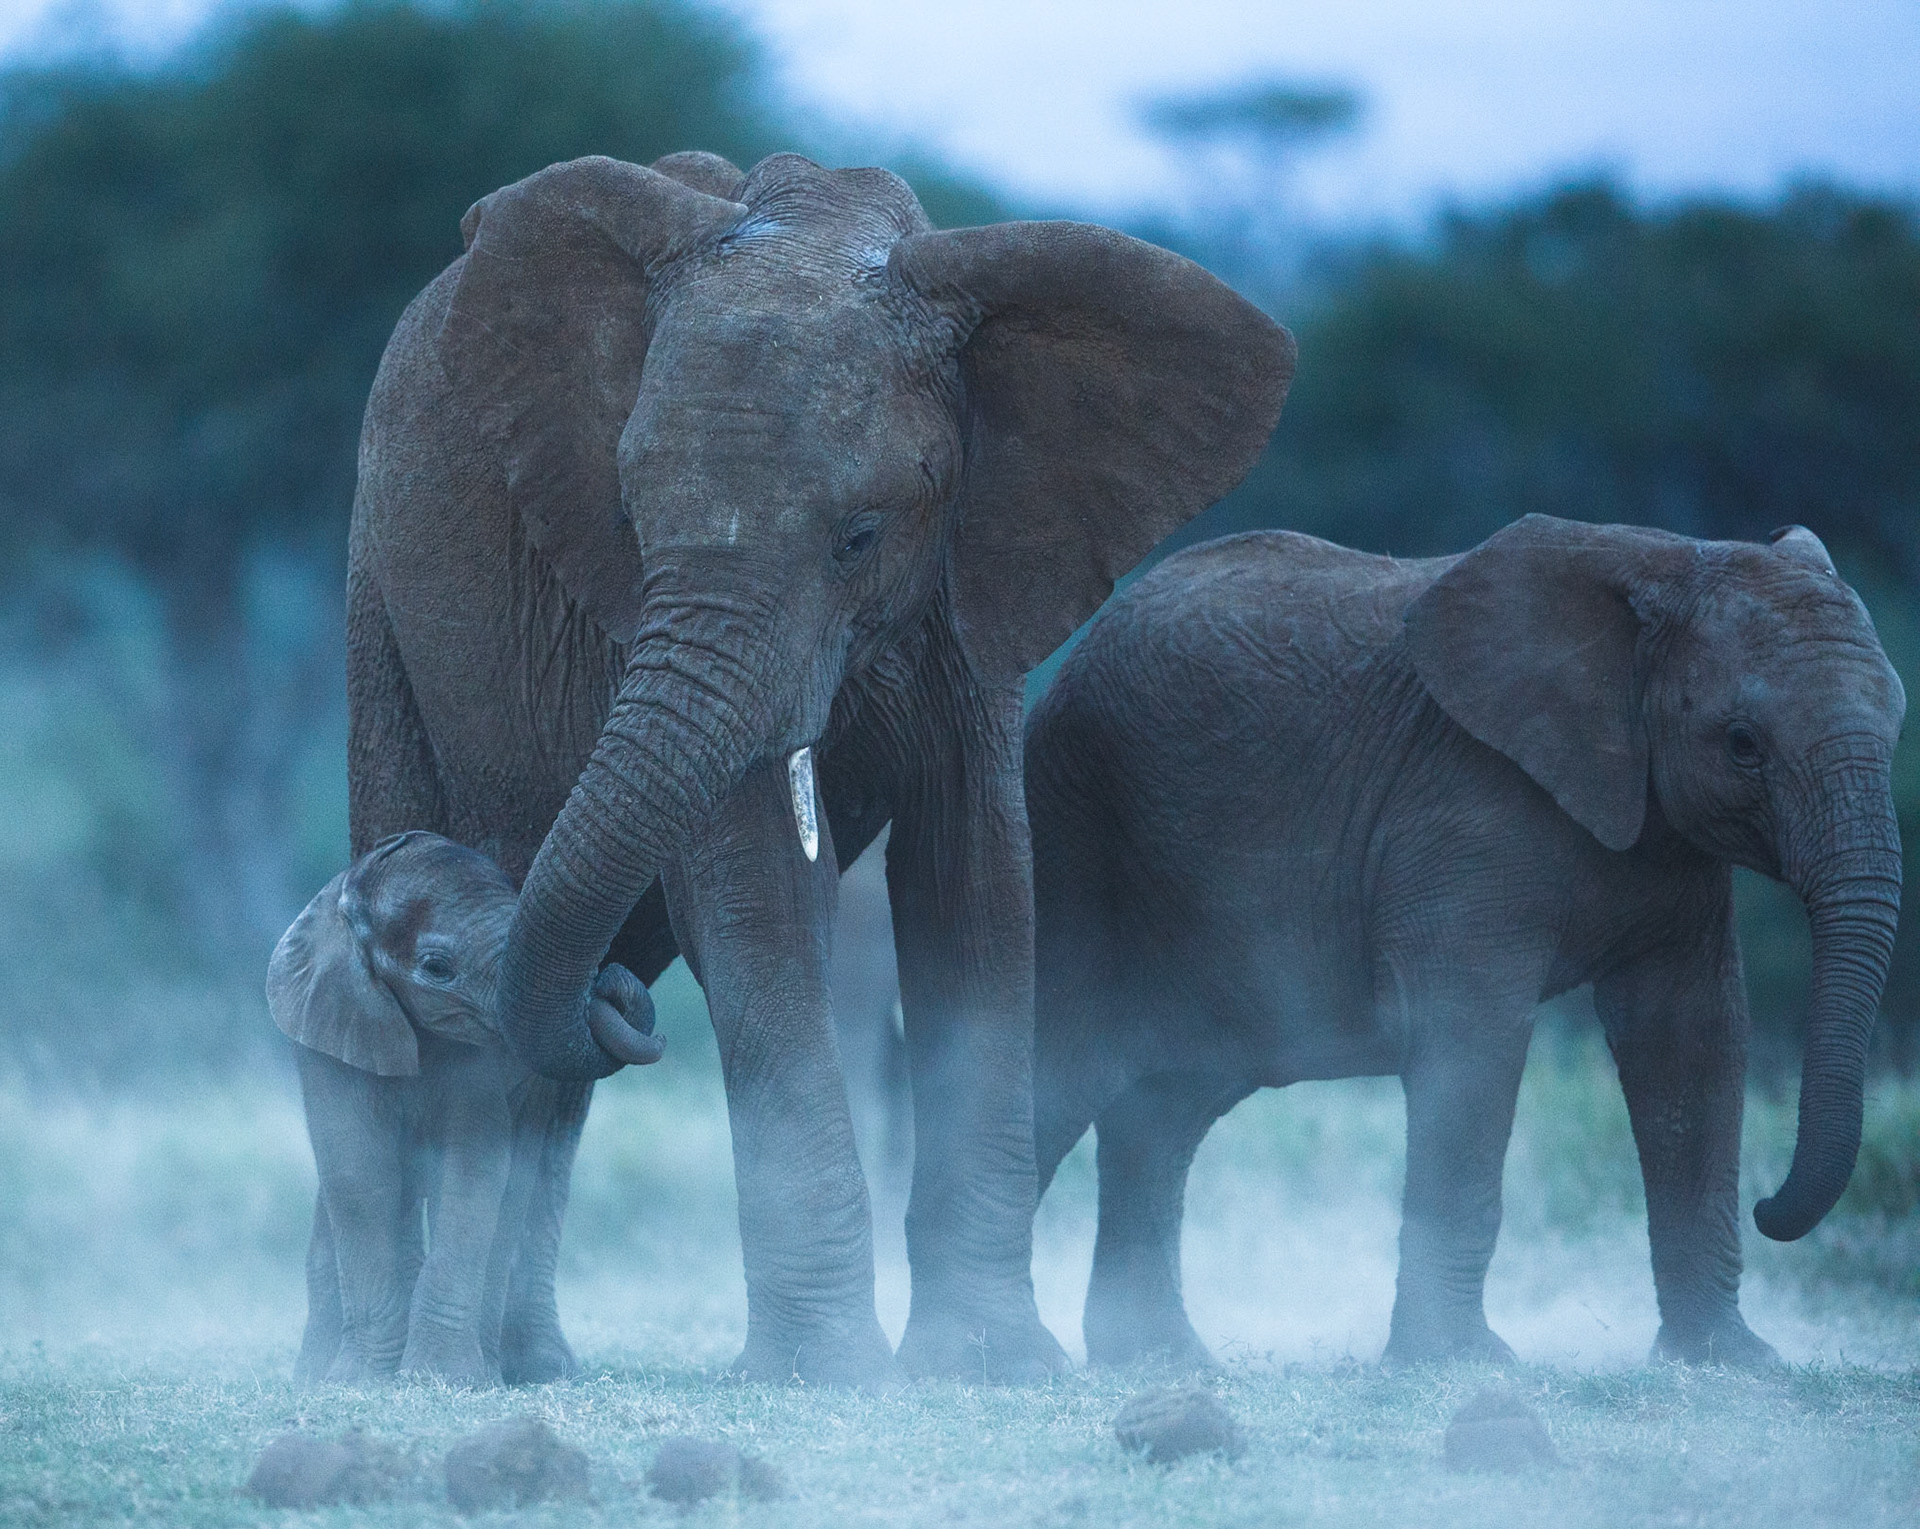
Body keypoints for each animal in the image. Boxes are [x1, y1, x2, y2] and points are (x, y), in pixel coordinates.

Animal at [268, 830, 660, 1387]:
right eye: (437, 967)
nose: (605, 979)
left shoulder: (483, 1067)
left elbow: (472, 1171)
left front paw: (441, 1380)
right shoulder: (330, 1035)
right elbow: (358, 1171)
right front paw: (360, 1381)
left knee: (512, 1192)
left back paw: (490, 1369)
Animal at [345, 147, 1294, 1383]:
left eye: (860, 536)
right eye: (628, 514)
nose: (623, 1011)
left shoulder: (976, 580)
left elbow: (976, 883)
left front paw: (987, 1360)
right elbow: (761, 895)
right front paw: (830, 1371)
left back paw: (534, 1365)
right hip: (383, 591)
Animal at [1026, 515, 1905, 1370]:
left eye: (1897, 725)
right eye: (1743, 742)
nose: (1768, 1206)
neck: (1663, 564)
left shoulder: (1671, 841)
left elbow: (1691, 1037)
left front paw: (1734, 1361)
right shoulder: (1464, 806)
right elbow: (1472, 1037)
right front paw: (1466, 1364)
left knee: (1164, 1109)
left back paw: (1161, 1359)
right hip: (1082, 837)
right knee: (1063, 1071)